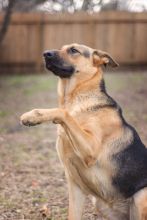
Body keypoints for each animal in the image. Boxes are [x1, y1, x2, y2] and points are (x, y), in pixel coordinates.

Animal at [20, 43, 147, 220]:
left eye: (73, 50)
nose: (45, 54)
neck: (75, 98)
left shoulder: (90, 148)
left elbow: (63, 112)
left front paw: (33, 115)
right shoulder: (75, 186)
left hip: (141, 196)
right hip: (100, 204)